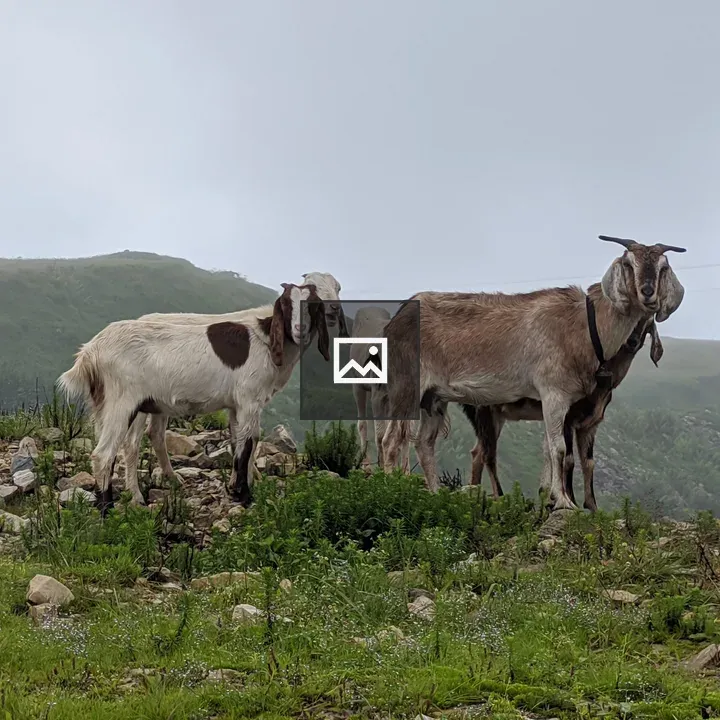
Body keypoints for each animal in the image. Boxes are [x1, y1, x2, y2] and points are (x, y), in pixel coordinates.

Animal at [57, 283, 330, 512]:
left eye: (312, 305)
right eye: (286, 305)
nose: (300, 330)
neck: (265, 339)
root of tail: (90, 352)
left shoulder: (236, 405)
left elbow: (238, 441)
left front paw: (236, 489)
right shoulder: (250, 399)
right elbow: (249, 443)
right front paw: (245, 497)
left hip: (108, 403)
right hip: (122, 401)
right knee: (105, 454)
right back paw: (108, 509)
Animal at [124, 272, 346, 502]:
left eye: (338, 288)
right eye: (314, 287)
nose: (334, 308)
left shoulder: (237, 401)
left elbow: (240, 438)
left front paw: (241, 480)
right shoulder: (249, 397)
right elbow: (250, 439)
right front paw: (246, 485)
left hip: (161, 403)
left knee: (156, 434)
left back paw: (172, 478)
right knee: (131, 442)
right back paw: (135, 495)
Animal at [460, 315, 663, 511]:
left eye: (648, 322)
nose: (632, 341)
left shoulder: (590, 424)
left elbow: (588, 462)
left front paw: (591, 506)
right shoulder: (567, 418)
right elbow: (569, 459)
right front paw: (569, 499)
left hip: (495, 416)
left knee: (477, 451)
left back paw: (475, 492)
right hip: (484, 411)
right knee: (488, 454)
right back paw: (498, 496)